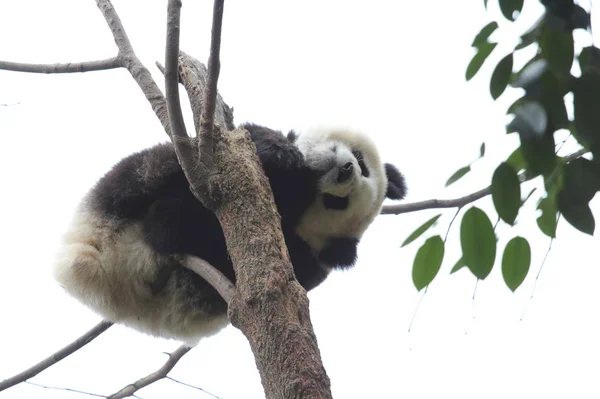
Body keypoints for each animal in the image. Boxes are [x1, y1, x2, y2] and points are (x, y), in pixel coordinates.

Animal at [54, 123, 406, 346]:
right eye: (361, 161)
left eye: (338, 202)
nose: (346, 169)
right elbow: (248, 138)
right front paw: (282, 152)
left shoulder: (305, 259)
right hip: (110, 201)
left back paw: (168, 218)